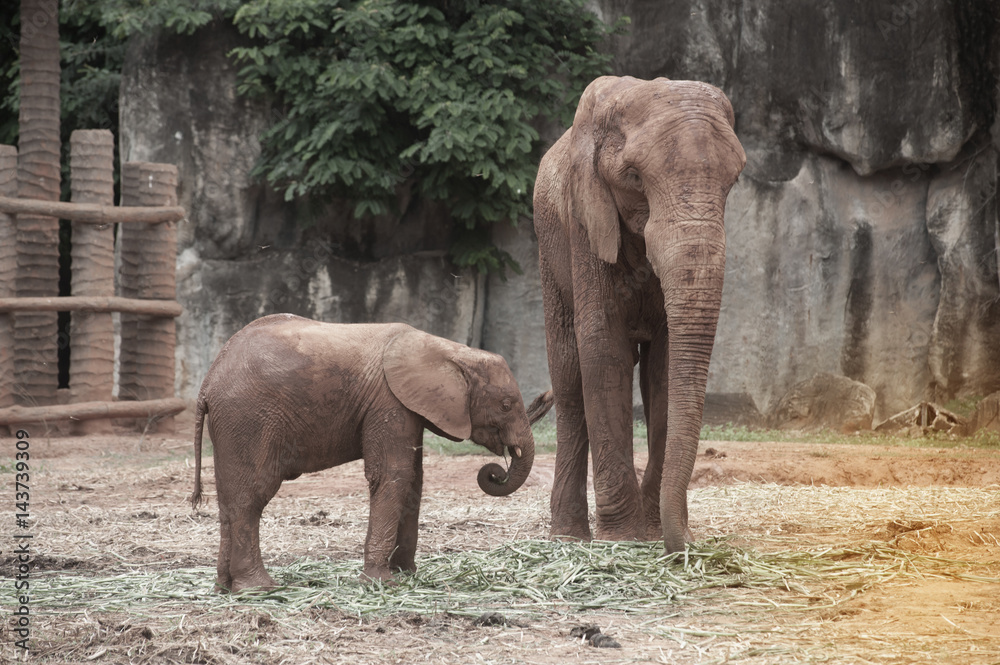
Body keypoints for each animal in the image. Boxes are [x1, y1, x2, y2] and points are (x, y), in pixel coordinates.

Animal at [189, 313, 552, 591]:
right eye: (506, 405)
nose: (496, 469)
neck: (449, 350)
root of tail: (207, 383)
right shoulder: (389, 402)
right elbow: (394, 474)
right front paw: (382, 582)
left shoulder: (406, 407)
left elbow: (414, 478)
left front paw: (406, 575)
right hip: (250, 419)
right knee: (252, 496)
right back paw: (259, 588)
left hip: (233, 425)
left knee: (230, 499)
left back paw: (224, 587)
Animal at [533, 76, 745, 552]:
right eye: (633, 178)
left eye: (734, 181)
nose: (684, 544)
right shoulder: (583, 222)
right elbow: (603, 352)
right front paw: (624, 537)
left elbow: (664, 369)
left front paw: (654, 531)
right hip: (548, 252)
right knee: (569, 379)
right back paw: (568, 536)